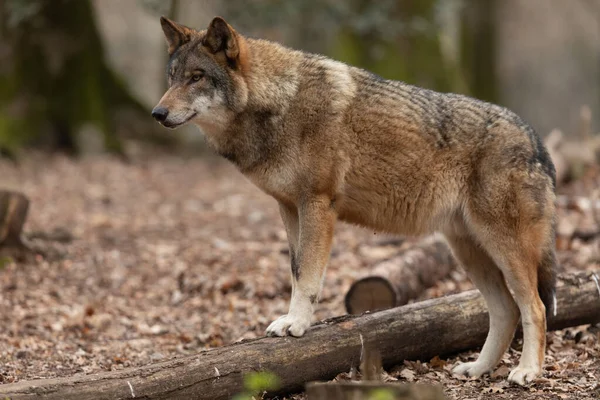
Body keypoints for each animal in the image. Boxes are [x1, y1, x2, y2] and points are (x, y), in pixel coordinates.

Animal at [152, 17, 556, 386]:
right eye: (172, 77)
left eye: (197, 77)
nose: (157, 114)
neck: (279, 102)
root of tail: (537, 141)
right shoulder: (289, 208)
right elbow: (295, 272)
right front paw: (291, 321)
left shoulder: (317, 204)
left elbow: (308, 276)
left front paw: (297, 325)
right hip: (469, 252)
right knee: (505, 311)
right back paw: (479, 369)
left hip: (502, 248)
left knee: (534, 307)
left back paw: (527, 372)